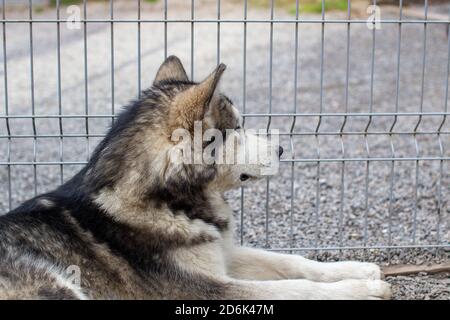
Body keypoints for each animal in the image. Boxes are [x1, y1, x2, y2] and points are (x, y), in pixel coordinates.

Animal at [0, 56, 390, 298]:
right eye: (234, 130)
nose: (280, 150)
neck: (170, 203)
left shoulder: (223, 256)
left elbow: (291, 262)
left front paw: (357, 270)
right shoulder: (202, 287)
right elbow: (295, 288)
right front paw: (361, 291)